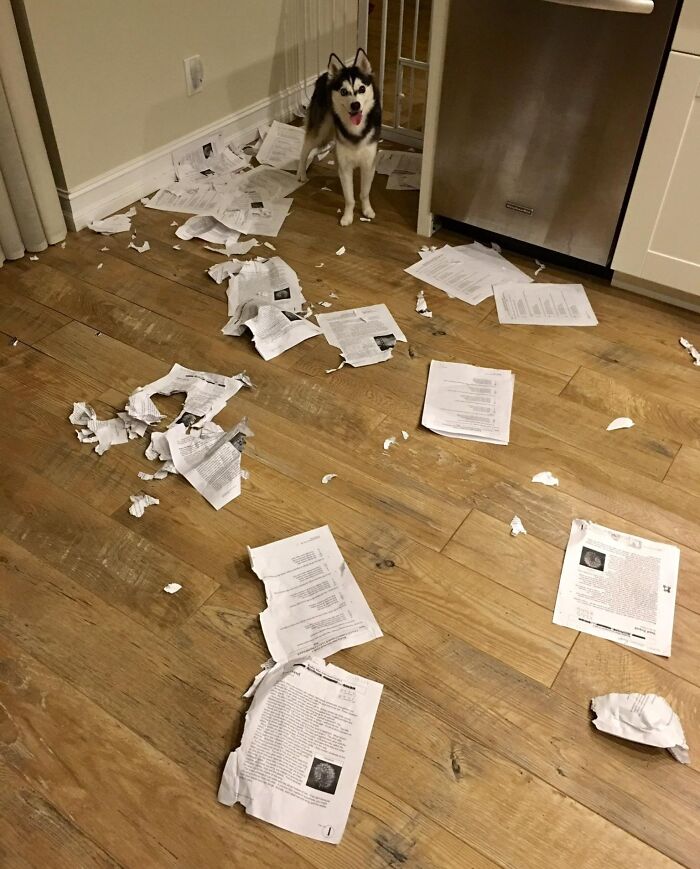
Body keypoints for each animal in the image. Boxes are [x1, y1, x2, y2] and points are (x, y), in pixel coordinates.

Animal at [296, 48, 380, 225]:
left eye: (362, 89)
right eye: (343, 91)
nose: (355, 105)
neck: (356, 130)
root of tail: (324, 76)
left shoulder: (368, 164)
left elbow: (364, 193)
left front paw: (367, 210)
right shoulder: (346, 166)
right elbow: (349, 198)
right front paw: (347, 217)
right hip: (321, 132)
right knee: (305, 147)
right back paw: (301, 173)